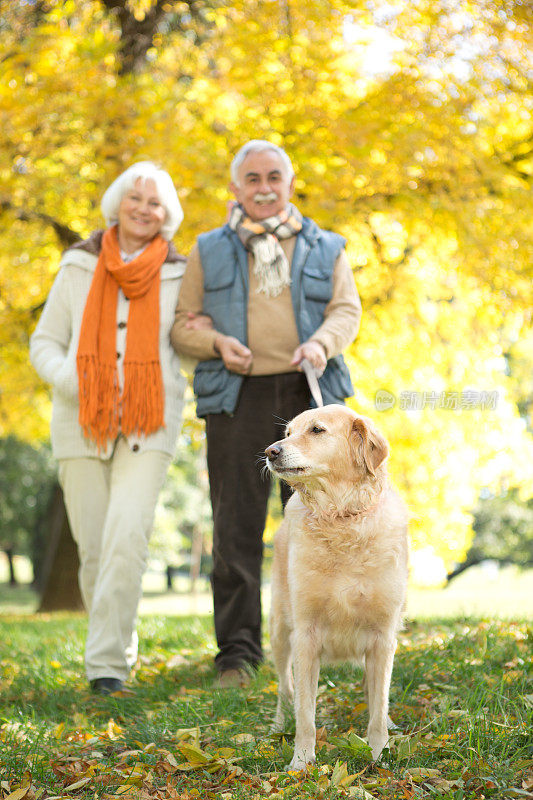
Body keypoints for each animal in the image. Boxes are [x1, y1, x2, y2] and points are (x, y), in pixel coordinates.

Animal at [266, 406, 408, 768]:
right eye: (288, 433)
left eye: (317, 430)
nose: (271, 451)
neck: (341, 517)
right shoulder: (305, 635)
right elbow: (305, 714)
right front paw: (301, 762)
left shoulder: (383, 637)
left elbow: (377, 706)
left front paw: (378, 754)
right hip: (279, 631)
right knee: (285, 689)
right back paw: (278, 724)